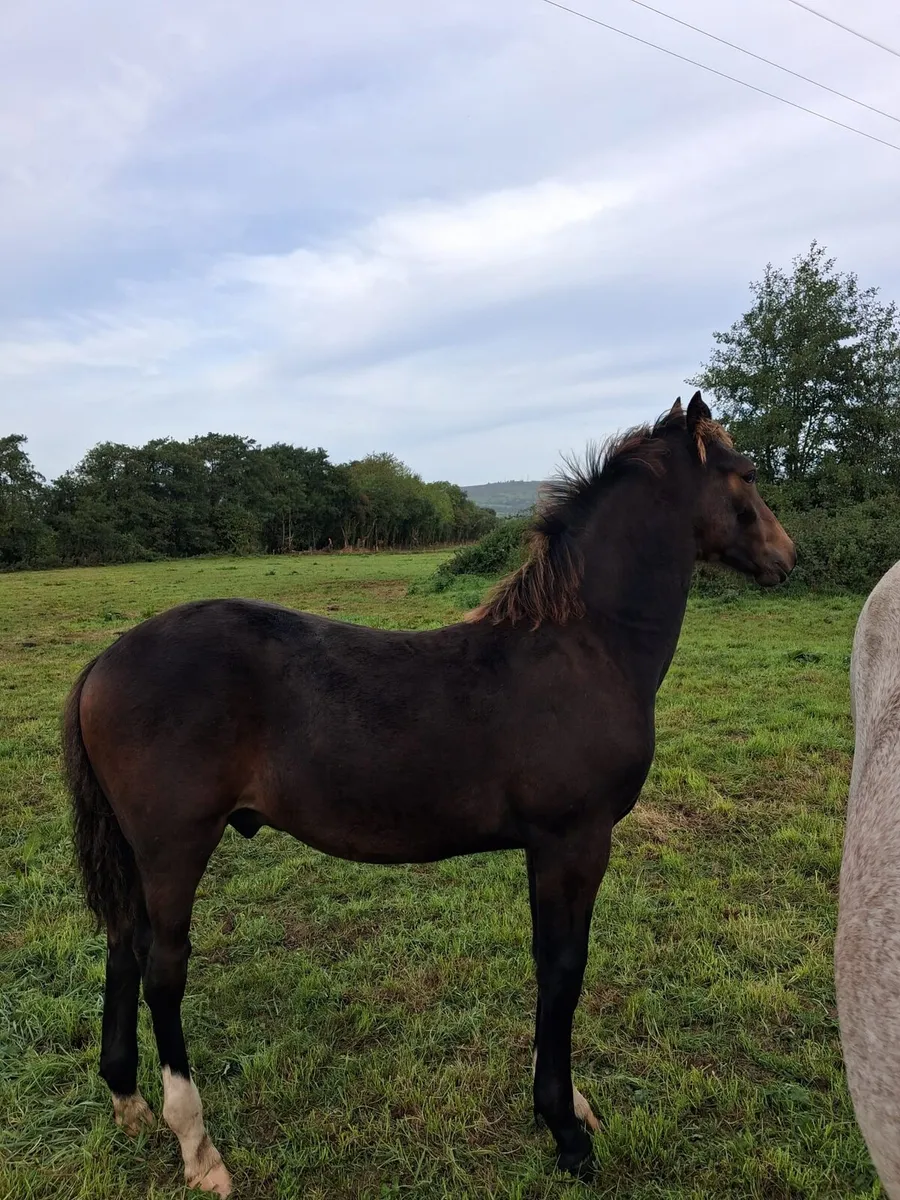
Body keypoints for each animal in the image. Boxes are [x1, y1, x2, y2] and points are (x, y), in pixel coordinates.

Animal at [63, 392, 795, 1196]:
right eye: (747, 473)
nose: (787, 558)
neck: (585, 648)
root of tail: (103, 661)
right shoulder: (573, 840)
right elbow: (564, 967)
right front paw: (566, 1129)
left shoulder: (550, 848)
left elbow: (548, 964)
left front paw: (567, 1103)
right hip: (175, 846)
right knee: (162, 966)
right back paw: (198, 1147)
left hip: (139, 852)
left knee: (122, 942)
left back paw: (128, 1101)